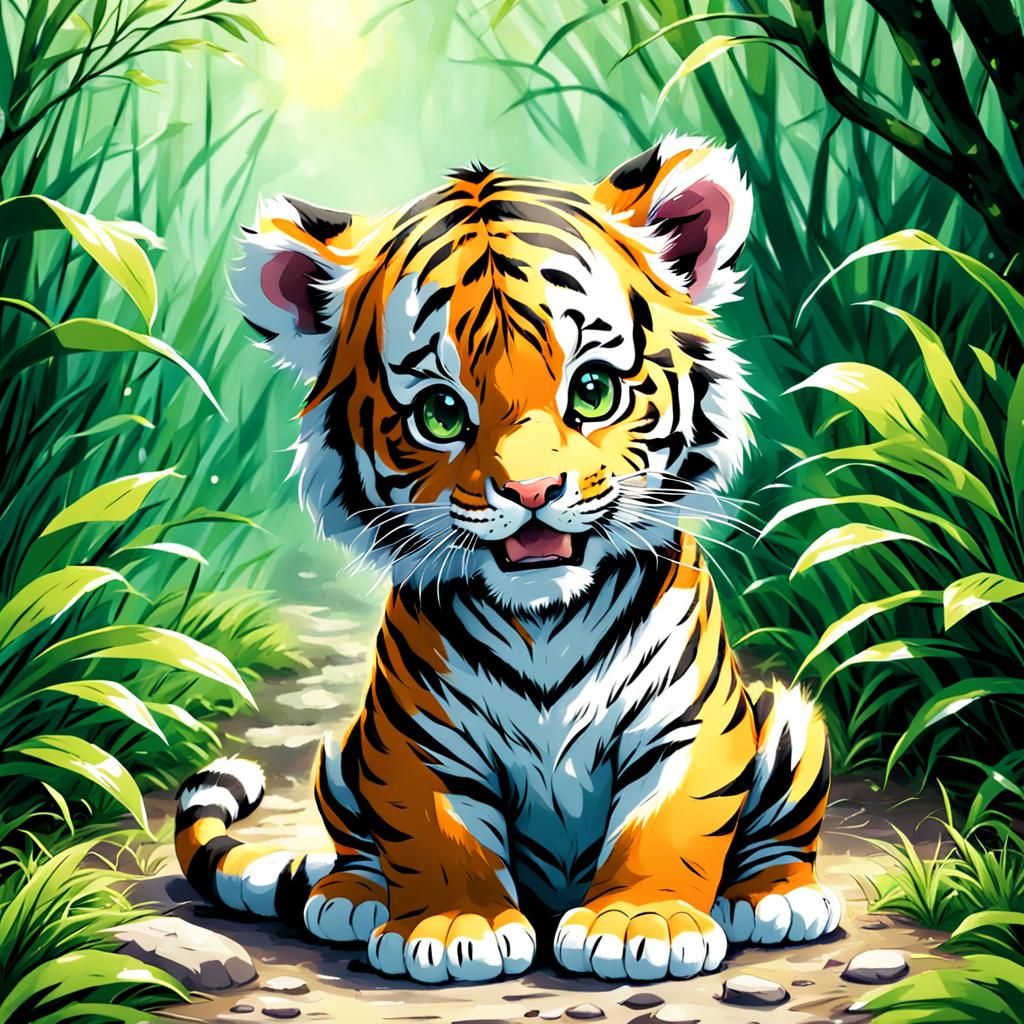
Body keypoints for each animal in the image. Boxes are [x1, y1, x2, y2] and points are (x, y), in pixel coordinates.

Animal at [174, 133, 839, 984]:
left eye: (592, 390)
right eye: (439, 412)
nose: (530, 491)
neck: (546, 617)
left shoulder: (687, 723)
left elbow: (669, 821)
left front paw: (642, 925)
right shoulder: (415, 738)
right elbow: (435, 832)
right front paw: (458, 926)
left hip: (787, 722)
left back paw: (775, 899)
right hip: (345, 747)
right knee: (356, 843)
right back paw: (352, 897)